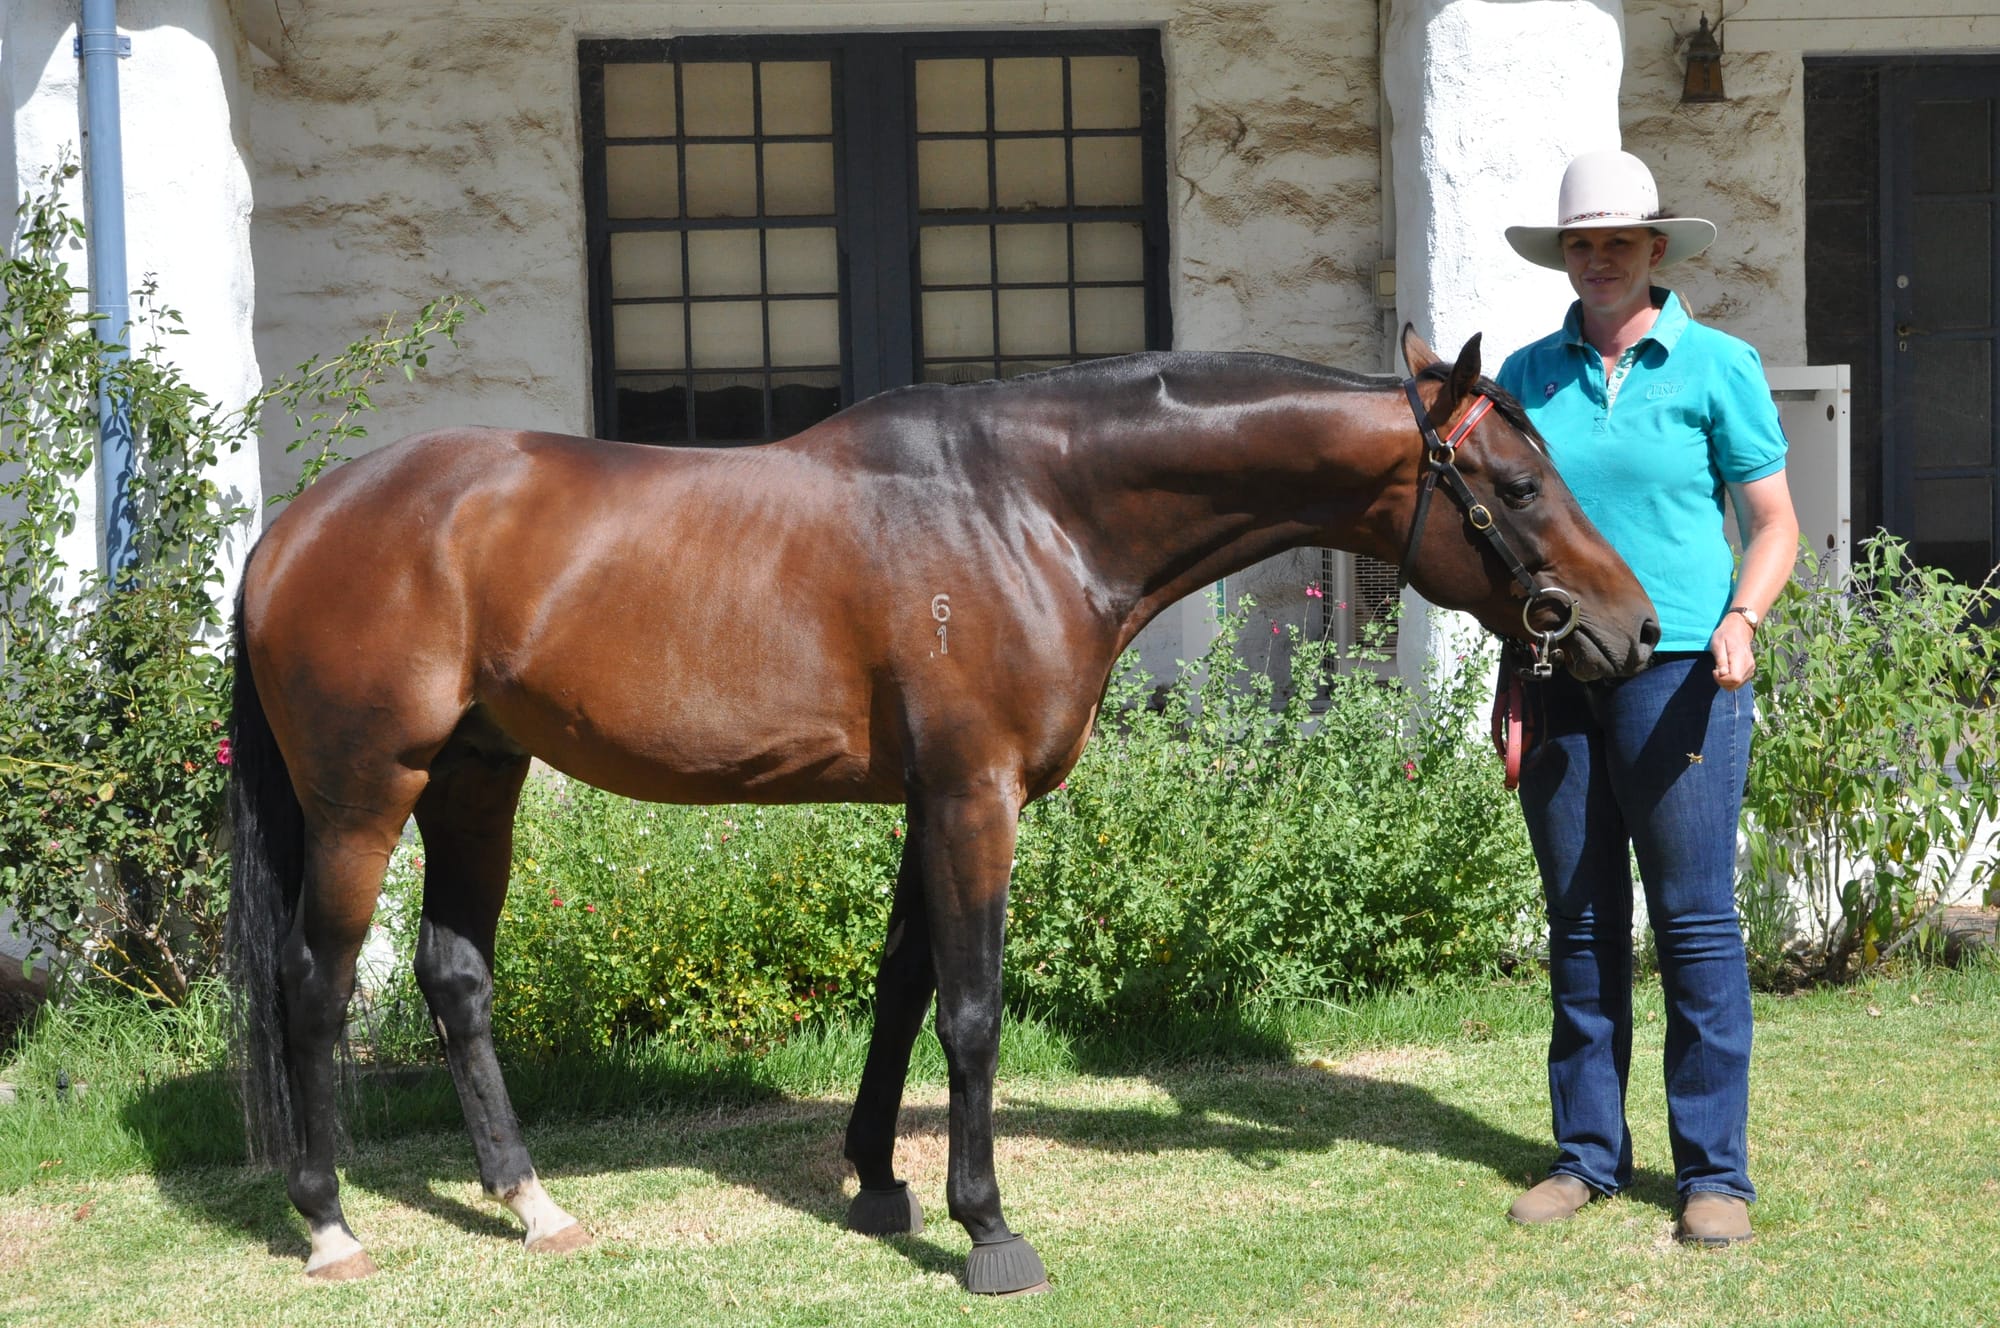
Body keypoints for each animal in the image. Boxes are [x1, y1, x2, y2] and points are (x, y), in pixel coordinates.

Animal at [225, 327, 1658, 1292]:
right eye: (1516, 484)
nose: (1629, 628)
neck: (1026, 509)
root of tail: (293, 526)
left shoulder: (929, 797)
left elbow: (902, 980)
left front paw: (877, 1180)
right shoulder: (976, 795)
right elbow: (969, 1006)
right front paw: (988, 1225)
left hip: (479, 777)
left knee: (453, 975)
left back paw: (531, 1204)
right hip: (367, 796)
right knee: (313, 982)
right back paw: (330, 1220)